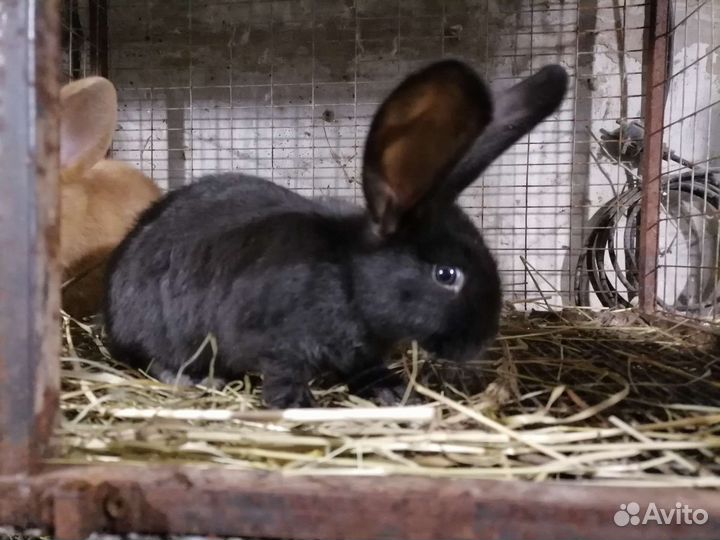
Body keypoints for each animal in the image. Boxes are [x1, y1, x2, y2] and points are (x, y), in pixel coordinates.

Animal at [103, 60, 568, 408]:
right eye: (446, 275)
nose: (482, 342)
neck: (349, 280)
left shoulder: (358, 354)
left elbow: (367, 370)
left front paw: (395, 391)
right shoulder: (278, 346)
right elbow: (284, 378)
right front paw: (299, 406)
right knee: (158, 360)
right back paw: (198, 380)